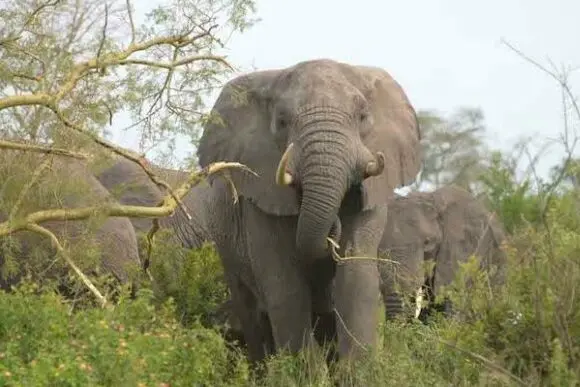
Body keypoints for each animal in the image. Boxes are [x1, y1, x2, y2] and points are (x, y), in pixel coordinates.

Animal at [195, 58, 422, 364]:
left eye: (363, 116)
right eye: (281, 121)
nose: (332, 230)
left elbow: (356, 278)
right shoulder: (261, 193)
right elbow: (285, 286)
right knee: (252, 315)